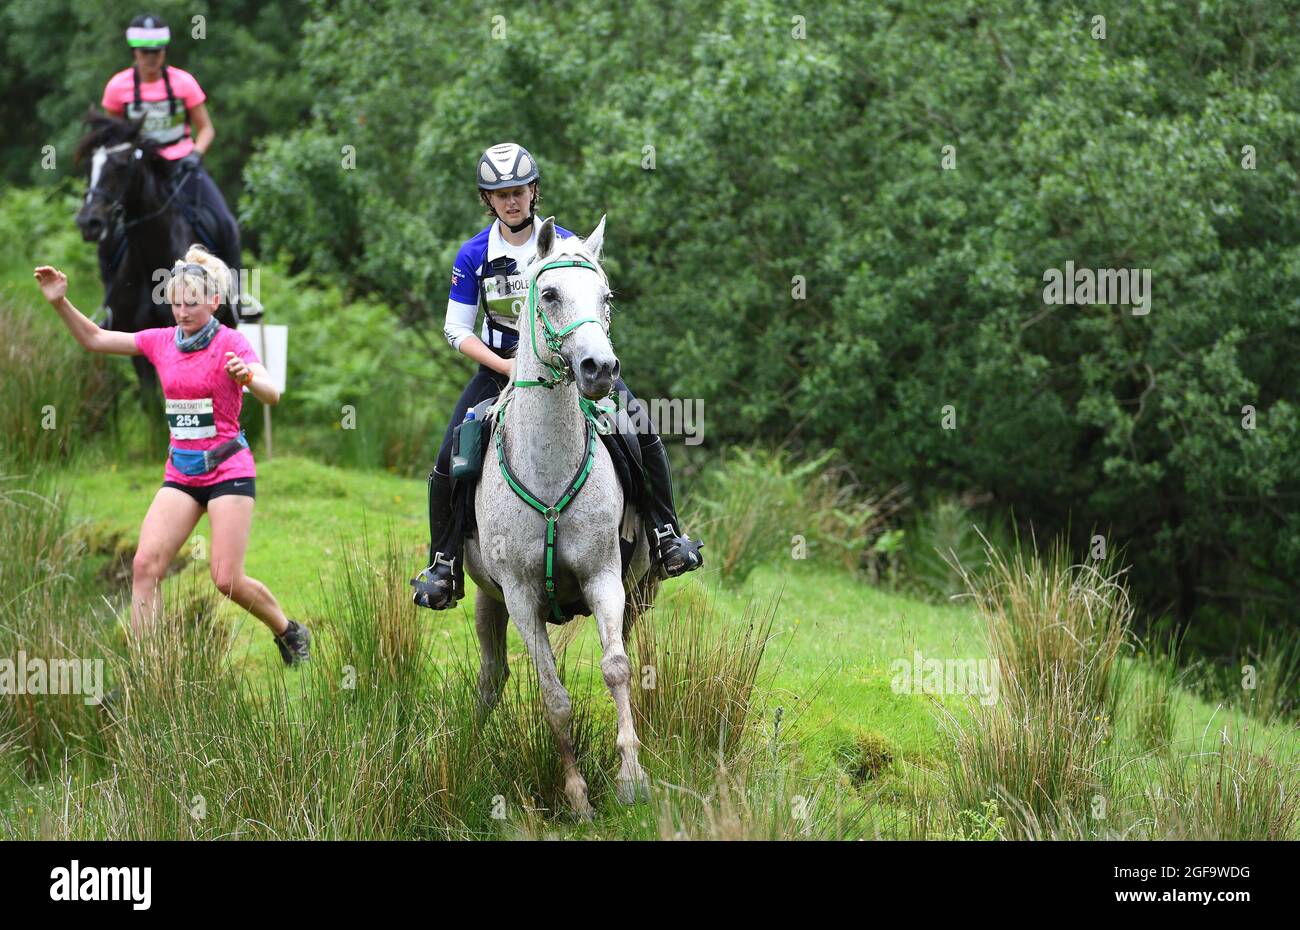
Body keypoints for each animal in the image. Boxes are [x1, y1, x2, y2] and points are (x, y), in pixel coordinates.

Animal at [462, 214, 655, 816]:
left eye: (605, 296)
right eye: (548, 294)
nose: (600, 368)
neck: (548, 468)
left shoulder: (604, 578)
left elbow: (616, 669)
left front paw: (631, 779)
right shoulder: (521, 597)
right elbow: (554, 697)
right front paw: (577, 796)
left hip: (640, 590)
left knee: (636, 659)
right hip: (487, 598)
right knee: (491, 677)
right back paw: (466, 749)